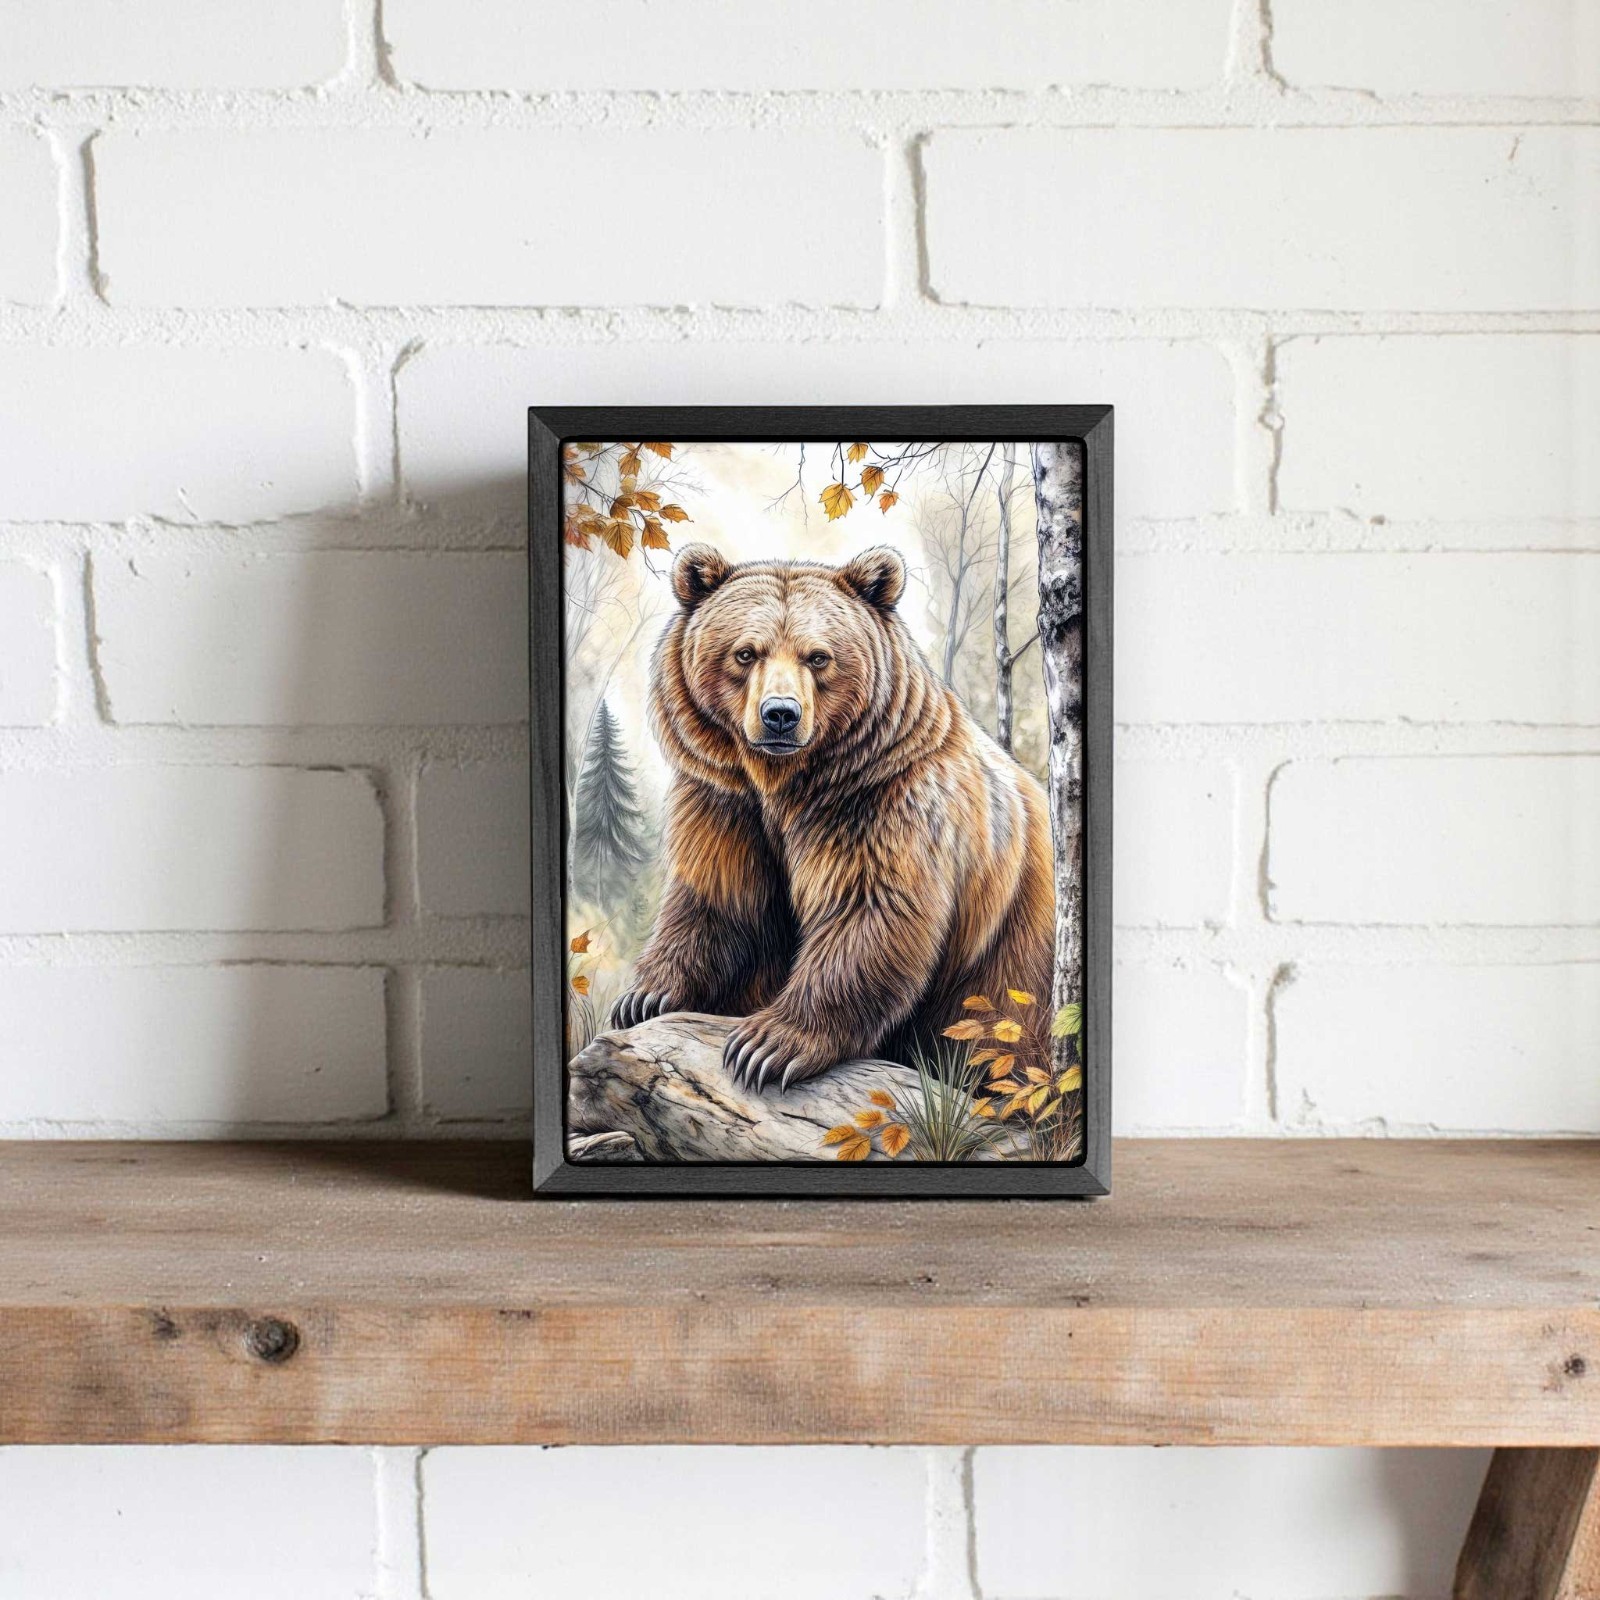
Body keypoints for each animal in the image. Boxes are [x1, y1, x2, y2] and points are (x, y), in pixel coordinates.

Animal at [611, 541, 1055, 1093]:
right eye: (745, 652)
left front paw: (767, 1045)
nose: (781, 714)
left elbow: (867, 911)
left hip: (1012, 965)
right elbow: (717, 896)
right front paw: (644, 996)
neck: (788, 784)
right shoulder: (726, 803)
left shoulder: (881, 805)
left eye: (818, 656)